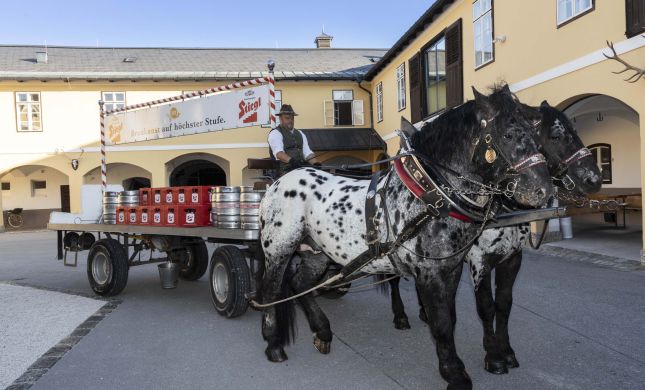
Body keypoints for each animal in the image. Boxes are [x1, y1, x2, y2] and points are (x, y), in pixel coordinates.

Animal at [256, 86, 552, 390]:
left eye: (535, 132)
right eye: (508, 134)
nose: (544, 190)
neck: (428, 196)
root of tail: (279, 182)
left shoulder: (452, 268)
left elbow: (449, 317)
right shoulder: (432, 272)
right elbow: (442, 322)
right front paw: (455, 372)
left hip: (318, 253)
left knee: (300, 283)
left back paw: (322, 331)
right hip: (279, 248)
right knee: (271, 289)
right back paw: (274, 343)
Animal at [380, 100, 600, 374]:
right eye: (556, 135)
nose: (594, 178)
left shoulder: (512, 259)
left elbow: (504, 304)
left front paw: (506, 350)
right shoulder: (479, 261)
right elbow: (486, 306)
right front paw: (493, 355)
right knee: (393, 279)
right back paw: (400, 315)